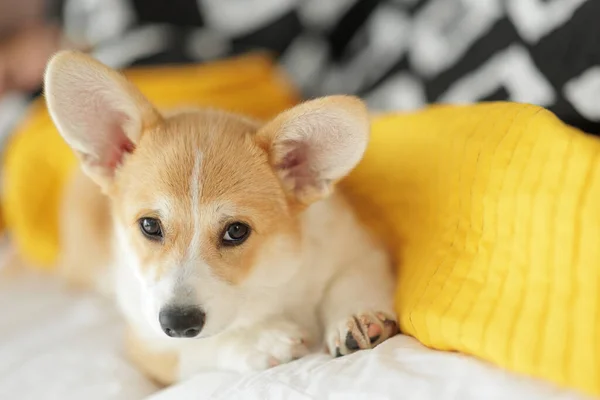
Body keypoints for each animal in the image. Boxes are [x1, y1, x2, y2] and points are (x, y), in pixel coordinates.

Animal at [43, 50, 398, 384]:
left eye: (236, 231)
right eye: (149, 225)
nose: (178, 323)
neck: (266, 284)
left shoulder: (357, 250)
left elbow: (350, 283)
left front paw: (357, 318)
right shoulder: (150, 344)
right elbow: (203, 345)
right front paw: (259, 340)